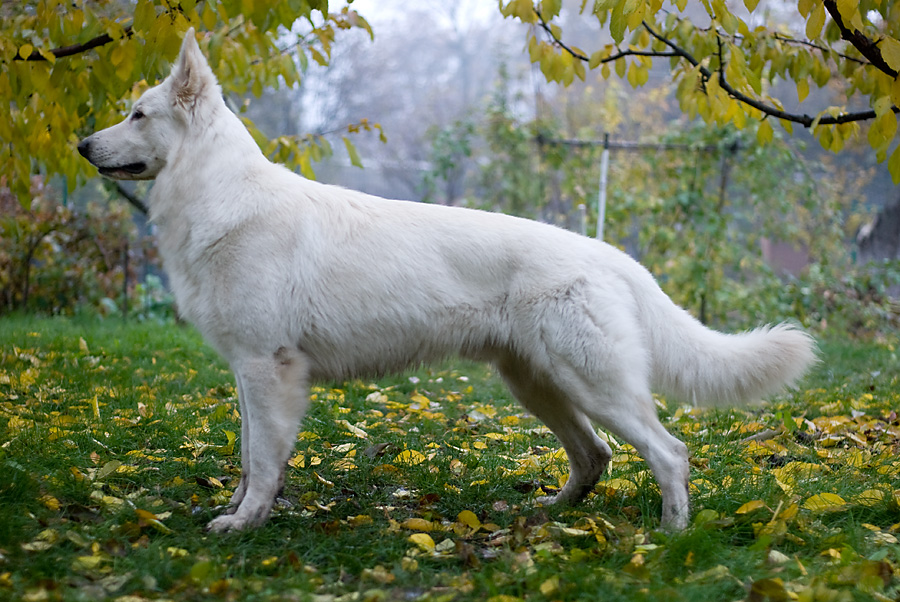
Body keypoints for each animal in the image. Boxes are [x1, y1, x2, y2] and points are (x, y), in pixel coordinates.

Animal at [81, 30, 820, 532]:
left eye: (138, 114)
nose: (83, 146)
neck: (221, 197)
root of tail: (612, 255)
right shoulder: (247, 372)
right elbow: (244, 454)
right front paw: (238, 510)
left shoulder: (269, 370)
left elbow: (262, 460)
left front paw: (246, 523)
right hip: (539, 386)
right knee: (595, 456)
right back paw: (546, 514)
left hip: (593, 385)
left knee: (668, 452)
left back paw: (671, 535)